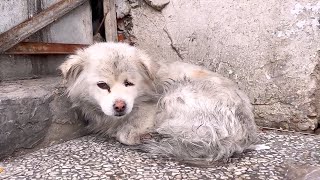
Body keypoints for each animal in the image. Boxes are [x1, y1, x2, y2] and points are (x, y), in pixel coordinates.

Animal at [59, 42, 260, 163]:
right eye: (102, 85)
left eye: (129, 83)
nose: (120, 106)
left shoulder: (150, 109)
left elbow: (125, 133)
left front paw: (136, 135)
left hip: (175, 94)